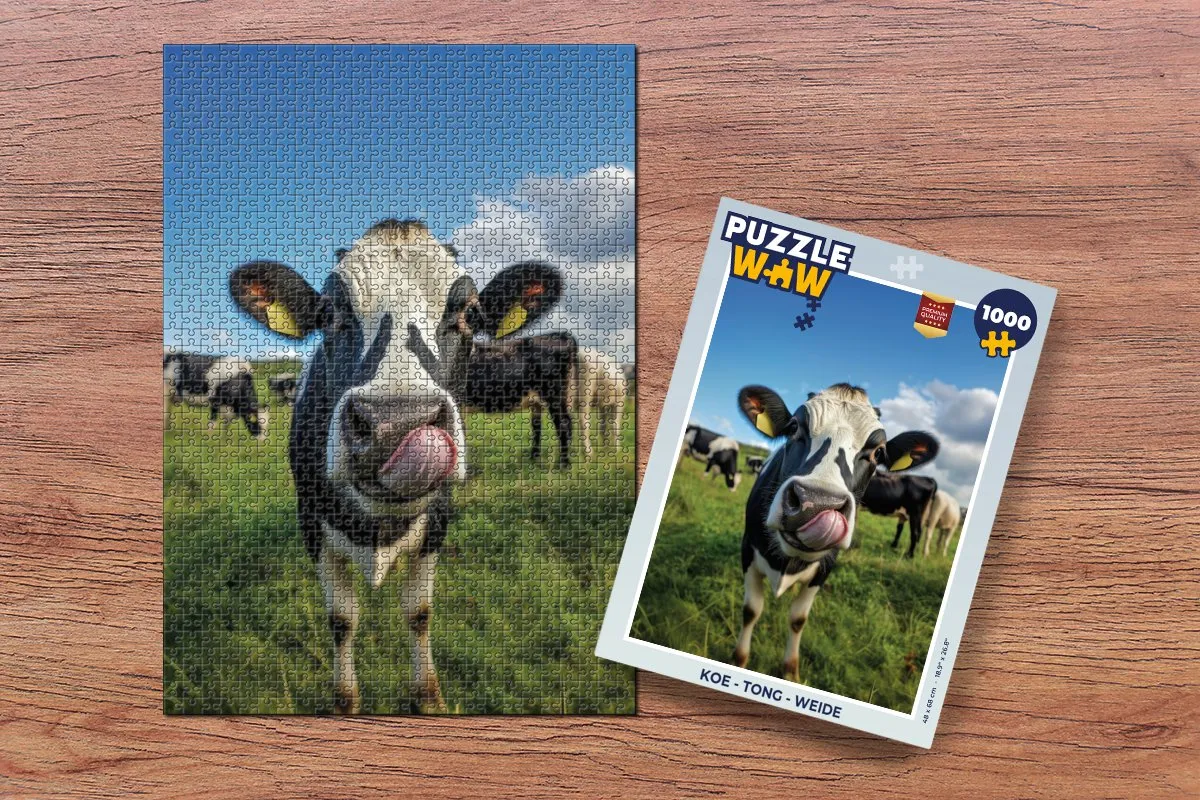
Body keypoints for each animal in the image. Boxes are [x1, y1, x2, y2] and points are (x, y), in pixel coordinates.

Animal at [227, 218, 562, 714]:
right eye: (329, 314)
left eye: (469, 313)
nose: (395, 425)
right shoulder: (310, 521)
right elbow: (342, 618)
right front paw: (345, 699)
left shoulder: (438, 519)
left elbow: (418, 612)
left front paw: (428, 695)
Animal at [465, 331, 577, 467]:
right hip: (541, 400)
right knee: (539, 426)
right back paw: (534, 457)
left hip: (554, 397)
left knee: (563, 425)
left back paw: (564, 464)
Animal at [731, 383, 938, 681]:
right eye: (793, 427)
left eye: (878, 452)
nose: (816, 503)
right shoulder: (748, 548)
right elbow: (751, 610)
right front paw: (738, 660)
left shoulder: (826, 567)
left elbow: (797, 619)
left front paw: (791, 671)